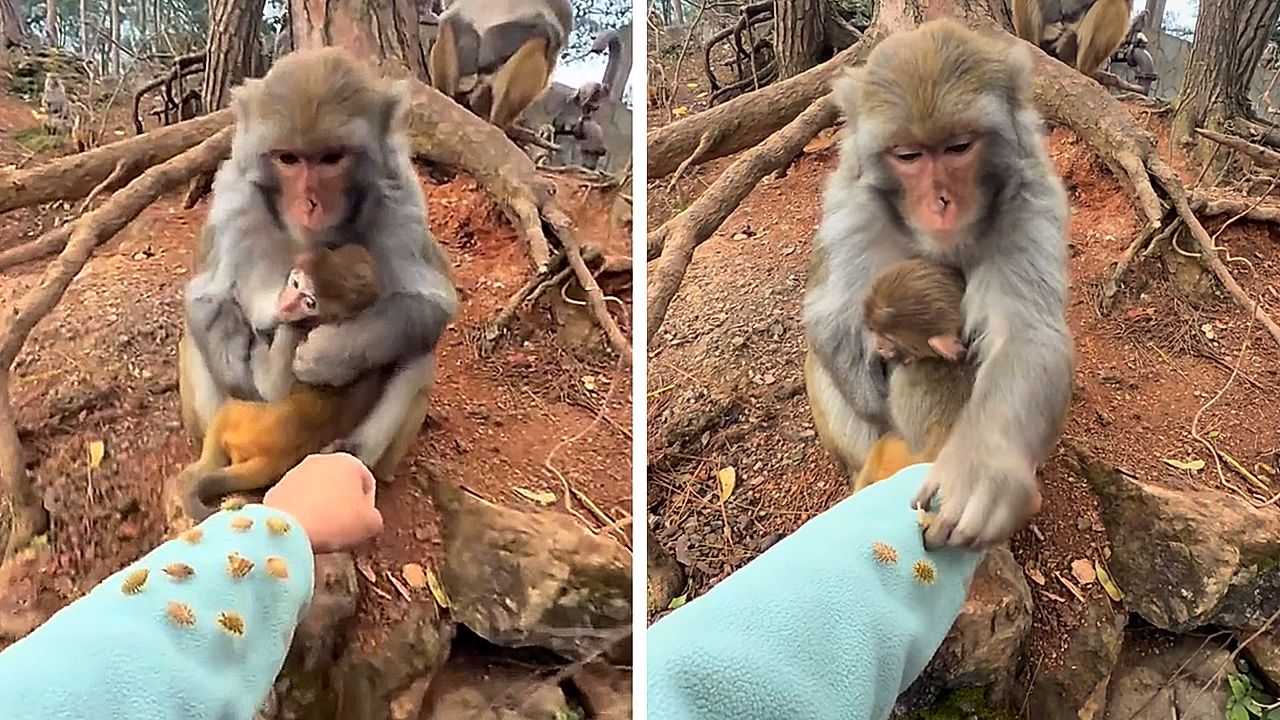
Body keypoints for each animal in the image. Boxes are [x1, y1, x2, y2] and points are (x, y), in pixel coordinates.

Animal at [179, 46, 459, 489]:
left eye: (331, 159)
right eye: (289, 159)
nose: (310, 204)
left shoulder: (402, 199)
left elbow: (431, 301)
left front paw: (329, 355)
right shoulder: (231, 197)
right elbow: (207, 296)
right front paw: (249, 375)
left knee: (418, 348)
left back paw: (348, 458)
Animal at [180, 245, 385, 521]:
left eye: (309, 302)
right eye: (295, 283)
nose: (287, 304)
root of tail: (275, 459)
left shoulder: (291, 328)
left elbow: (272, 386)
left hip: (239, 422)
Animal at [428, 0, 574, 130]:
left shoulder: (562, 8)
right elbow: (457, 18)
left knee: (539, 40)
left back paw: (494, 120)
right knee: (449, 24)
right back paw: (447, 95)